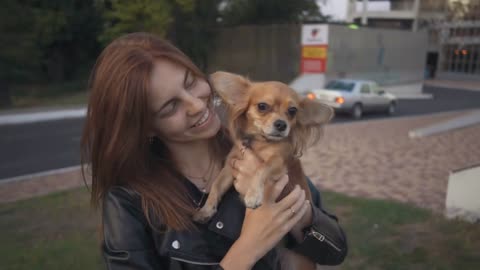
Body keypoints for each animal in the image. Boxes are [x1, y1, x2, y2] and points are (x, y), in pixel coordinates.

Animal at [193, 71, 332, 221]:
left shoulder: (277, 162)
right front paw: (206, 210)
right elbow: (216, 185)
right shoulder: (230, 167)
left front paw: (253, 195)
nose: (281, 124)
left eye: (293, 111)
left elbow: (261, 168)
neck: (259, 142)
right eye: (262, 106)